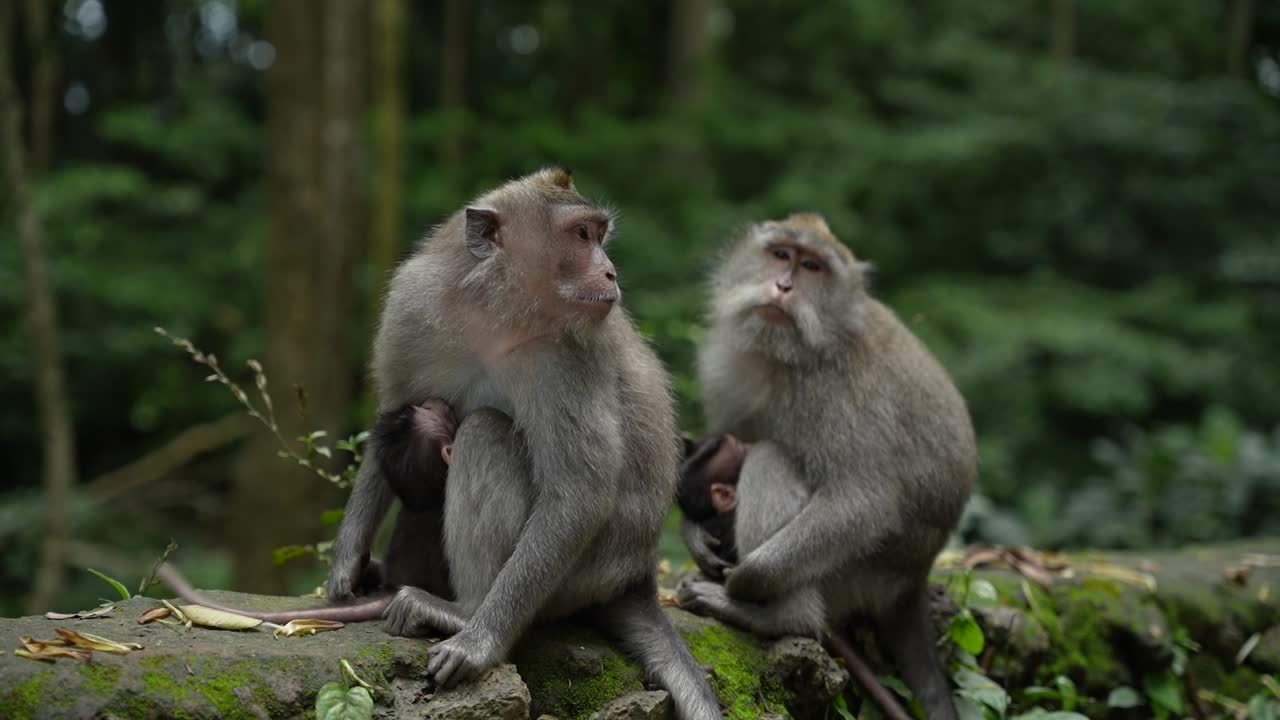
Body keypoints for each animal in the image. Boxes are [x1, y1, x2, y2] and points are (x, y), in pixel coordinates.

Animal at [676, 212, 976, 720]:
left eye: (812, 266)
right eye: (781, 254)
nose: (782, 286)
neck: (791, 354)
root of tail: (914, 579)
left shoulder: (842, 392)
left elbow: (862, 503)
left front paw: (746, 580)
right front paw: (694, 532)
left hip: (857, 576)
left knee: (771, 458)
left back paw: (779, 616)